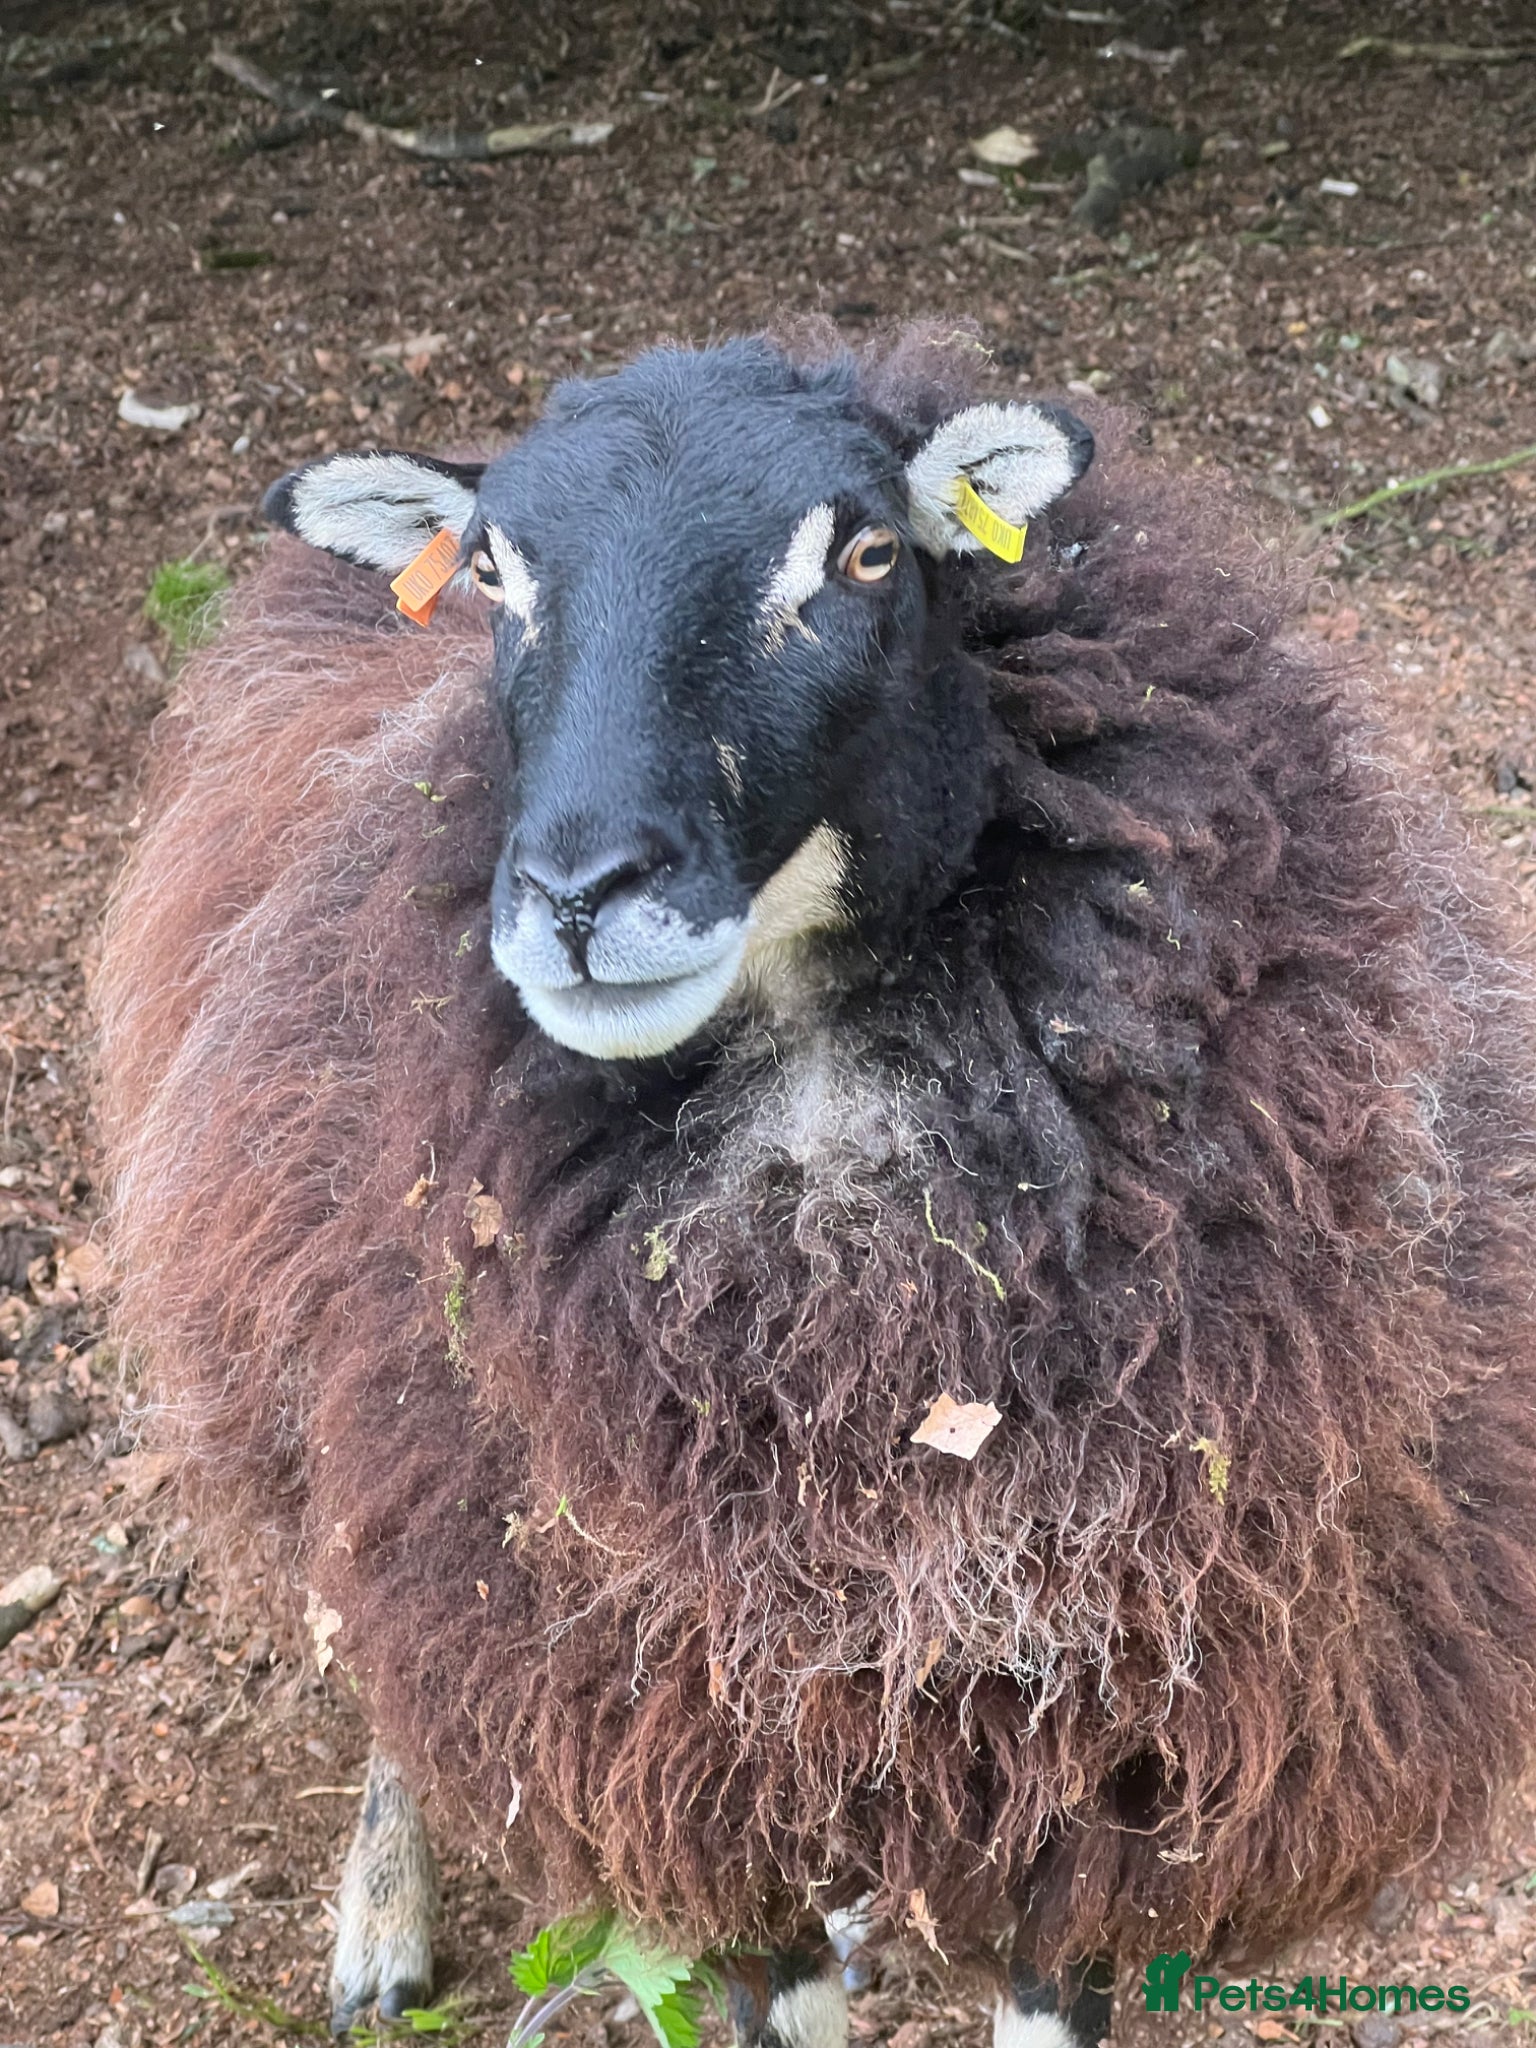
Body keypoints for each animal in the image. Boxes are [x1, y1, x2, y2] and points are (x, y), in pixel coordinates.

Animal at [95, 322, 1536, 2046]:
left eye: (864, 554)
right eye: (496, 575)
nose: (577, 895)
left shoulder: (1122, 1749)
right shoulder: (688, 1749)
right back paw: (381, 1921)